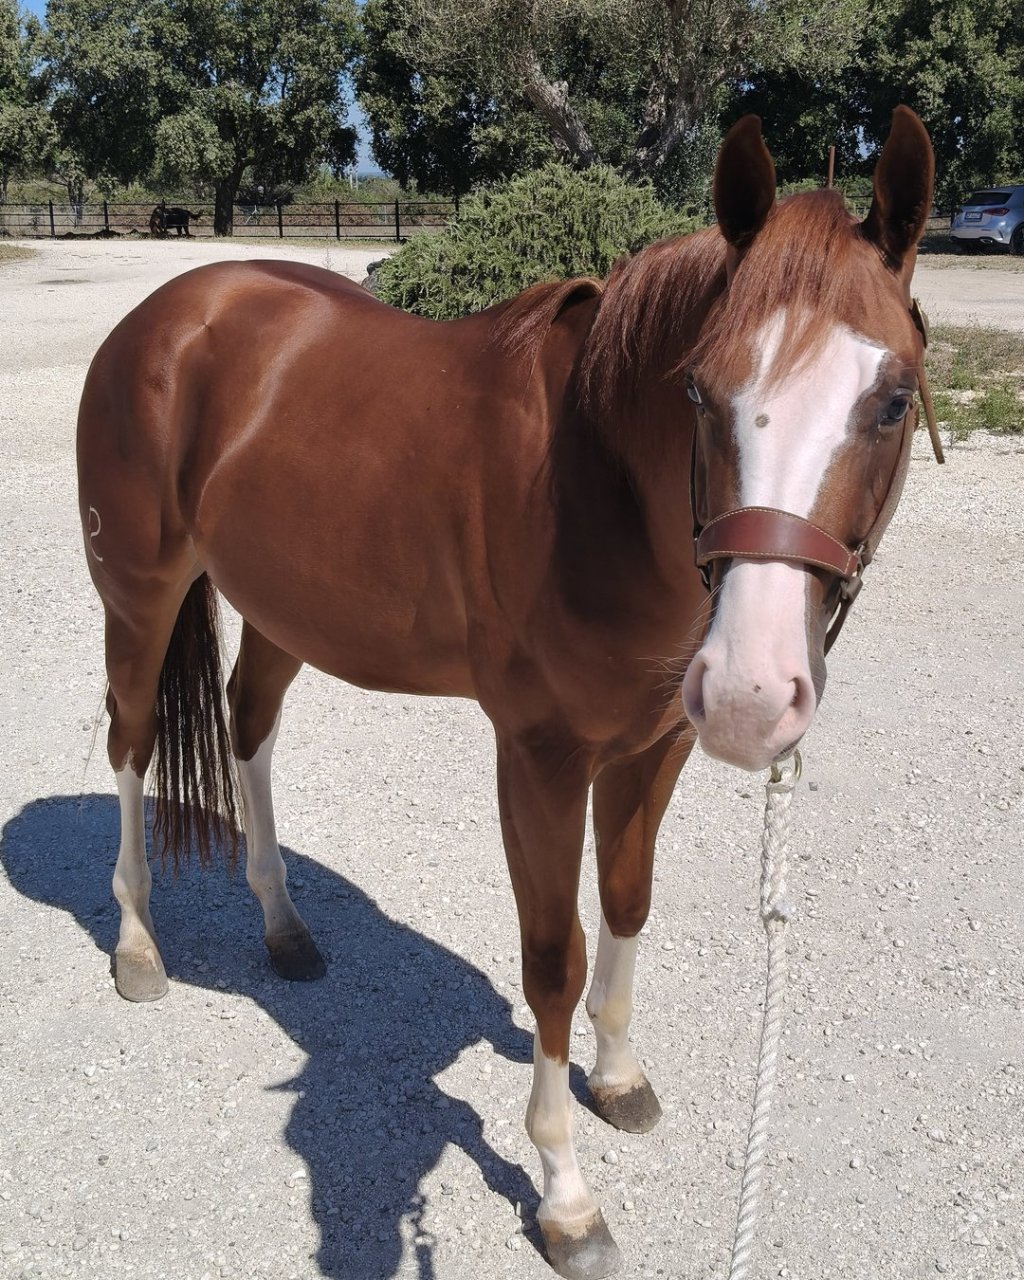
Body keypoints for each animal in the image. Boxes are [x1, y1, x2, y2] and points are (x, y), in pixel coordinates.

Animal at [77, 108, 934, 1280]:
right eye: (699, 390)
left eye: (889, 403)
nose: (753, 694)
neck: (600, 486)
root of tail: (169, 314)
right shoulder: (539, 756)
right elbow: (553, 959)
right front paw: (566, 1198)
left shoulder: (652, 747)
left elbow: (626, 904)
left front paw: (618, 1078)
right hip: (141, 594)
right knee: (129, 745)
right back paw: (137, 945)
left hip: (283, 610)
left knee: (249, 730)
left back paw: (284, 928)